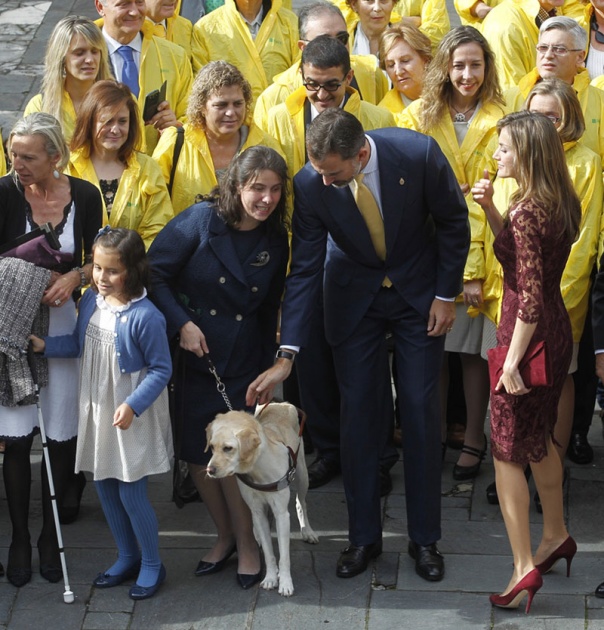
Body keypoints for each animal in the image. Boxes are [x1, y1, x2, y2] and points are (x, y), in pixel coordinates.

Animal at [205, 404, 318, 596]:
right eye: (211, 447)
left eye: (228, 448)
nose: (210, 470)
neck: (259, 470)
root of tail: (280, 403)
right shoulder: (257, 511)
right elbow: (268, 551)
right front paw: (271, 577)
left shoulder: (281, 515)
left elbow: (284, 556)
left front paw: (285, 582)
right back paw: (256, 536)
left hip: (303, 475)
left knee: (301, 503)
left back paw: (307, 531)